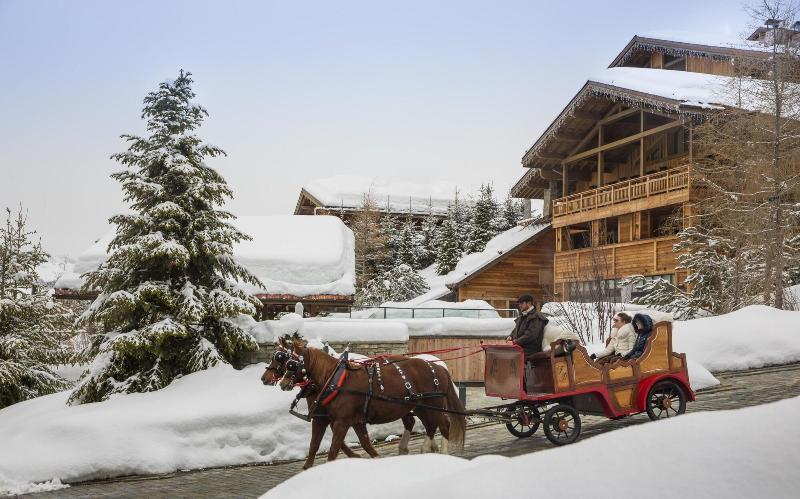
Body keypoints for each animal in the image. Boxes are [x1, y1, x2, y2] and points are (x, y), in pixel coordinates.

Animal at [260, 338, 416, 470]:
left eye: (282, 358)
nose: (264, 378)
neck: (329, 380)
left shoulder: (333, 417)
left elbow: (335, 444)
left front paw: (355, 455)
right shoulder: (326, 417)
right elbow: (320, 444)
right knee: (410, 421)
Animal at [282, 342, 468, 462]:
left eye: (291, 364)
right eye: (283, 360)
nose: (283, 383)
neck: (336, 380)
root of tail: (439, 367)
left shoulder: (342, 421)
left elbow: (333, 450)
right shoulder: (349, 420)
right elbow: (361, 443)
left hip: (433, 404)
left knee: (443, 425)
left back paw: (441, 454)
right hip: (420, 406)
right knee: (428, 425)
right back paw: (422, 449)